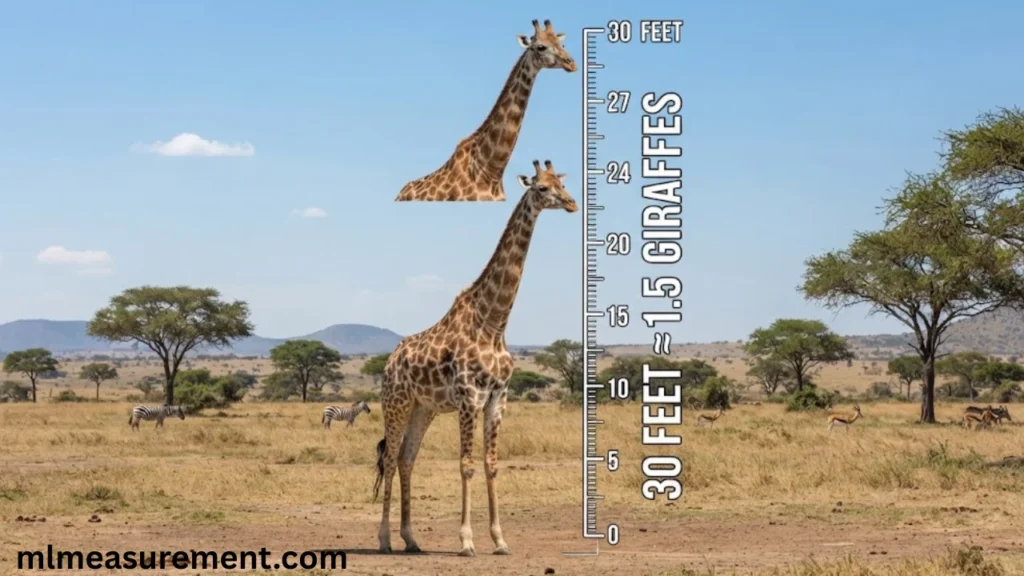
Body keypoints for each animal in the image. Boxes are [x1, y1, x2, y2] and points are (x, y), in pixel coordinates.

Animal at [373, 159, 577, 556]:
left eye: (561, 183)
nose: (572, 204)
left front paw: (499, 540)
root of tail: (389, 363)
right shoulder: (469, 397)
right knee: (389, 459)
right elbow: (466, 465)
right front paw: (467, 541)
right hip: (396, 403)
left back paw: (411, 538)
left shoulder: (498, 398)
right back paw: (386, 539)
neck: (493, 322)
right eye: (541, 188)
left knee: (406, 458)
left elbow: (491, 464)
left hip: (424, 408)